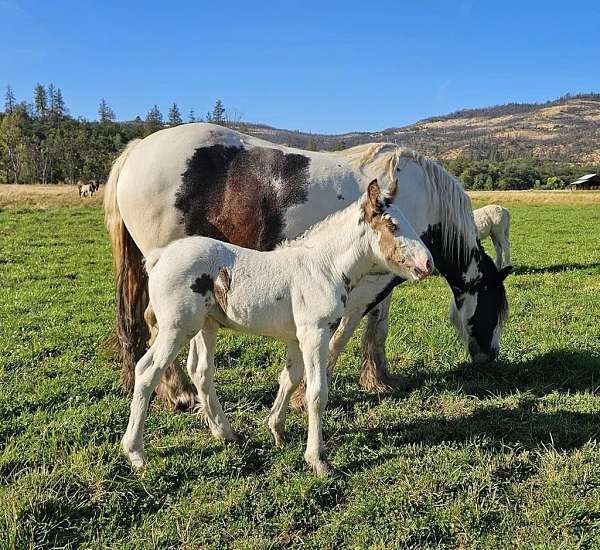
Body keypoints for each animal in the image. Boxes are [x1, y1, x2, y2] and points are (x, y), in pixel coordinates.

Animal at [103, 123, 510, 412]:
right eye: (494, 309)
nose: (490, 357)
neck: (420, 198)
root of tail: (137, 150)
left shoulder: (384, 280)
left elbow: (377, 330)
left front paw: (378, 379)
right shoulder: (364, 287)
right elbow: (342, 334)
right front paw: (302, 397)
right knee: (157, 328)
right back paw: (178, 394)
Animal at [122, 180, 432, 474]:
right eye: (393, 225)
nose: (427, 263)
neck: (324, 268)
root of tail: (160, 256)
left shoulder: (297, 338)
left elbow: (289, 379)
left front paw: (276, 429)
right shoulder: (315, 334)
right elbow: (316, 392)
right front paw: (318, 459)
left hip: (204, 325)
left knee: (200, 371)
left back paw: (226, 433)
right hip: (176, 328)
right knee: (147, 371)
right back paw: (135, 452)